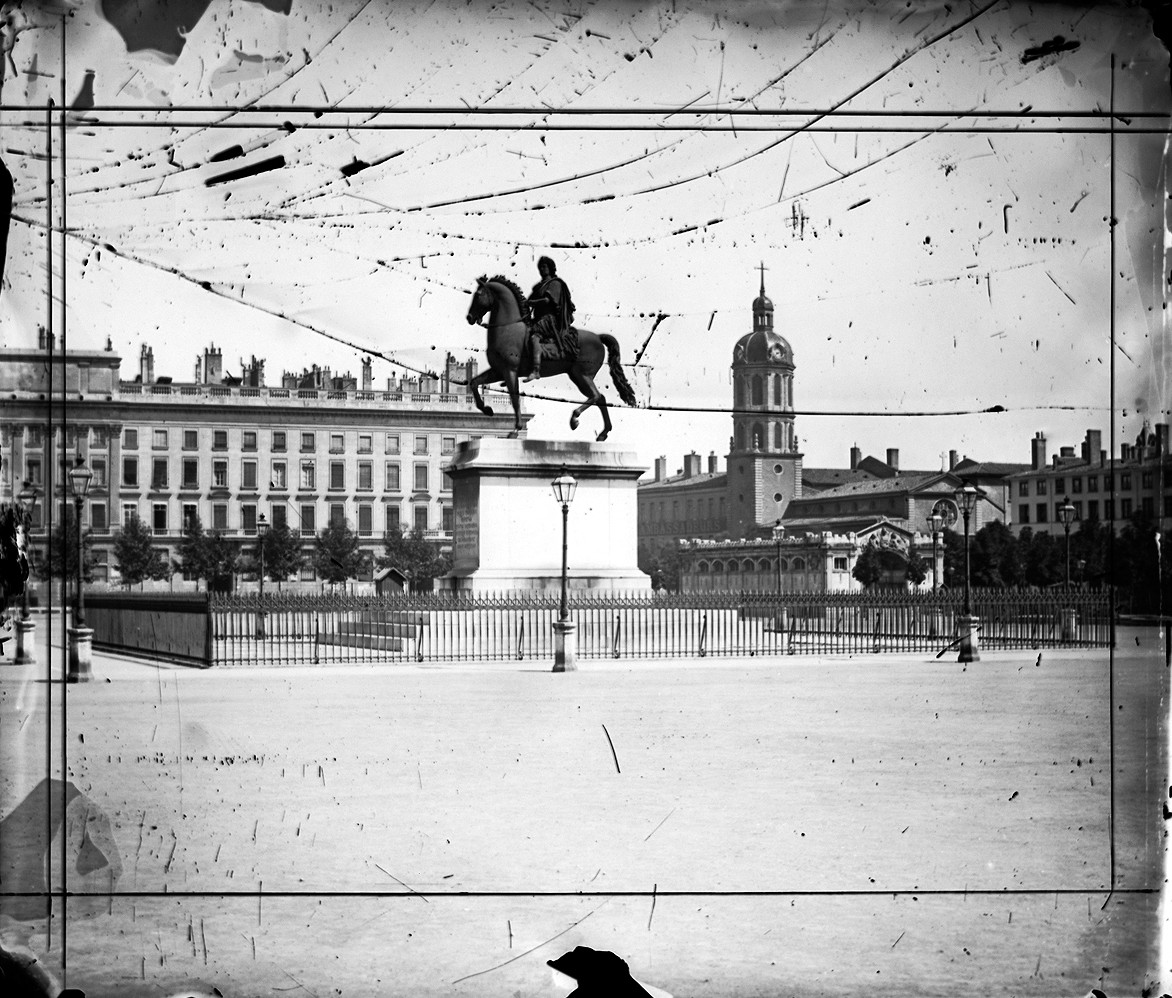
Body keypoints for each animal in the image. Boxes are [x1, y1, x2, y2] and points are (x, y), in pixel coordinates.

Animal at [461, 275, 637, 442]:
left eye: (478, 295)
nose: (469, 317)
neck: (508, 328)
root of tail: (599, 337)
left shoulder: (510, 371)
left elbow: (515, 399)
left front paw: (516, 429)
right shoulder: (498, 371)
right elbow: (474, 382)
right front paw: (487, 409)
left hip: (582, 375)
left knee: (596, 396)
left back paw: (575, 419)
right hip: (577, 376)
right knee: (600, 398)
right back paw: (603, 433)